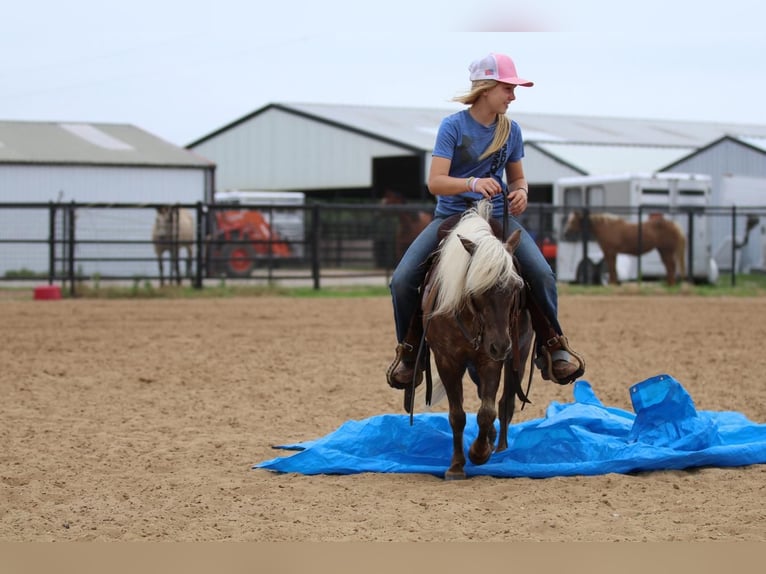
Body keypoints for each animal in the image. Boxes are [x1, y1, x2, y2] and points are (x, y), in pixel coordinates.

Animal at [420, 202, 536, 482]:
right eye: (475, 289)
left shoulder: (489, 359)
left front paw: (479, 453)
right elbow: (457, 415)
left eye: (516, 287)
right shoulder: (447, 360)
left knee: (505, 403)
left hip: (520, 353)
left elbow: (487, 411)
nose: (501, 345)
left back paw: (501, 448)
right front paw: (456, 466)